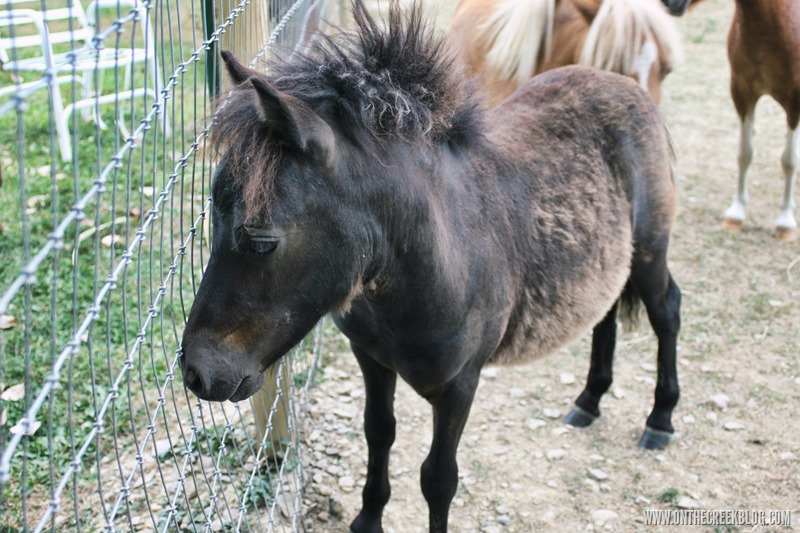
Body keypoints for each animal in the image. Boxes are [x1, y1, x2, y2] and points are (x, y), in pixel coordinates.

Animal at [720, 0, 796, 239]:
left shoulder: (795, 101)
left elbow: (790, 160)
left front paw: (785, 222)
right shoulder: (741, 92)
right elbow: (744, 153)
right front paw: (736, 214)